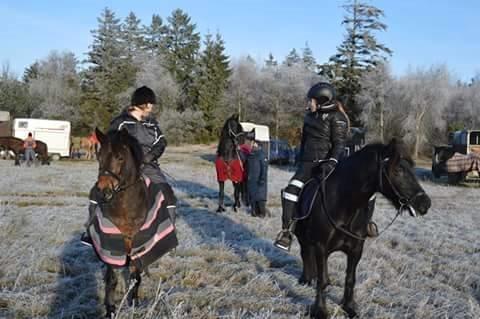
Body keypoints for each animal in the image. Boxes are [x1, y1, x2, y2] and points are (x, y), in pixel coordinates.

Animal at [92, 128, 178, 318]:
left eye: (120, 157)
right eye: (99, 156)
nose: (103, 191)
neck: (126, 208)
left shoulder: (139, 244)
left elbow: (136, 275)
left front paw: (134, 302)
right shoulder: (111, 243)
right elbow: (111, 278)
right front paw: (110, 309)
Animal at [294, 140, 434, 319]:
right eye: (397, 170)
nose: (425, 204)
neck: (342, 205)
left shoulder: (356, 249)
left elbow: (350, 279)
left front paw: (349, 307)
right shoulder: (321, 247)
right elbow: (323, 279)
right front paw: (320, 310)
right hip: (302, 236)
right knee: (305, 253)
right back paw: (305, 279)